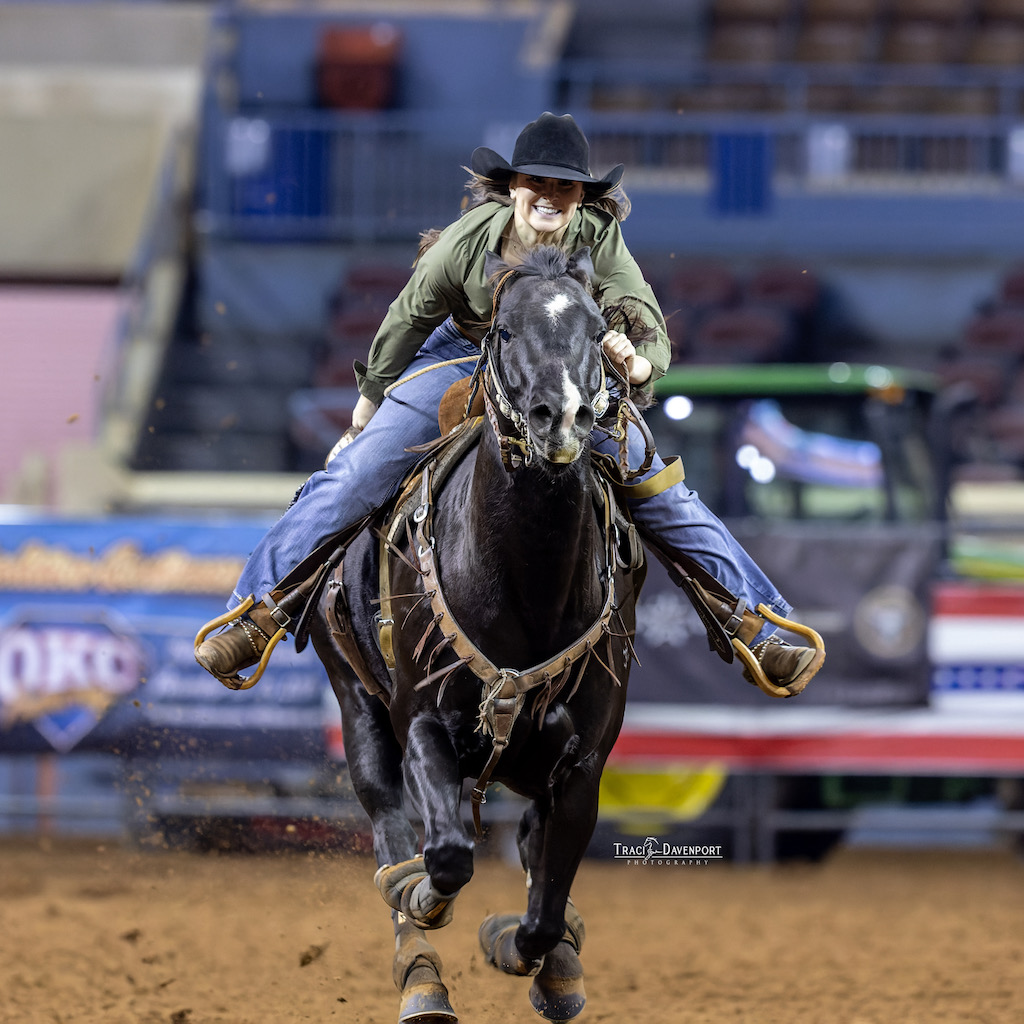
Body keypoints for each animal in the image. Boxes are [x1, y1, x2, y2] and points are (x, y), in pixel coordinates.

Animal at [311, 247, 647, 1024]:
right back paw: (421, 977)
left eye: (599, 332)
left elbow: (543, 913)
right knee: (394, 828)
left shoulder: (581, 767)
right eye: (506, 330)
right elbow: (446, 858)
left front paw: (529, 954)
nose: (562, 417)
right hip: (357, 703)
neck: (529, 588)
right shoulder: (423, 722)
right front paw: (425, 899)